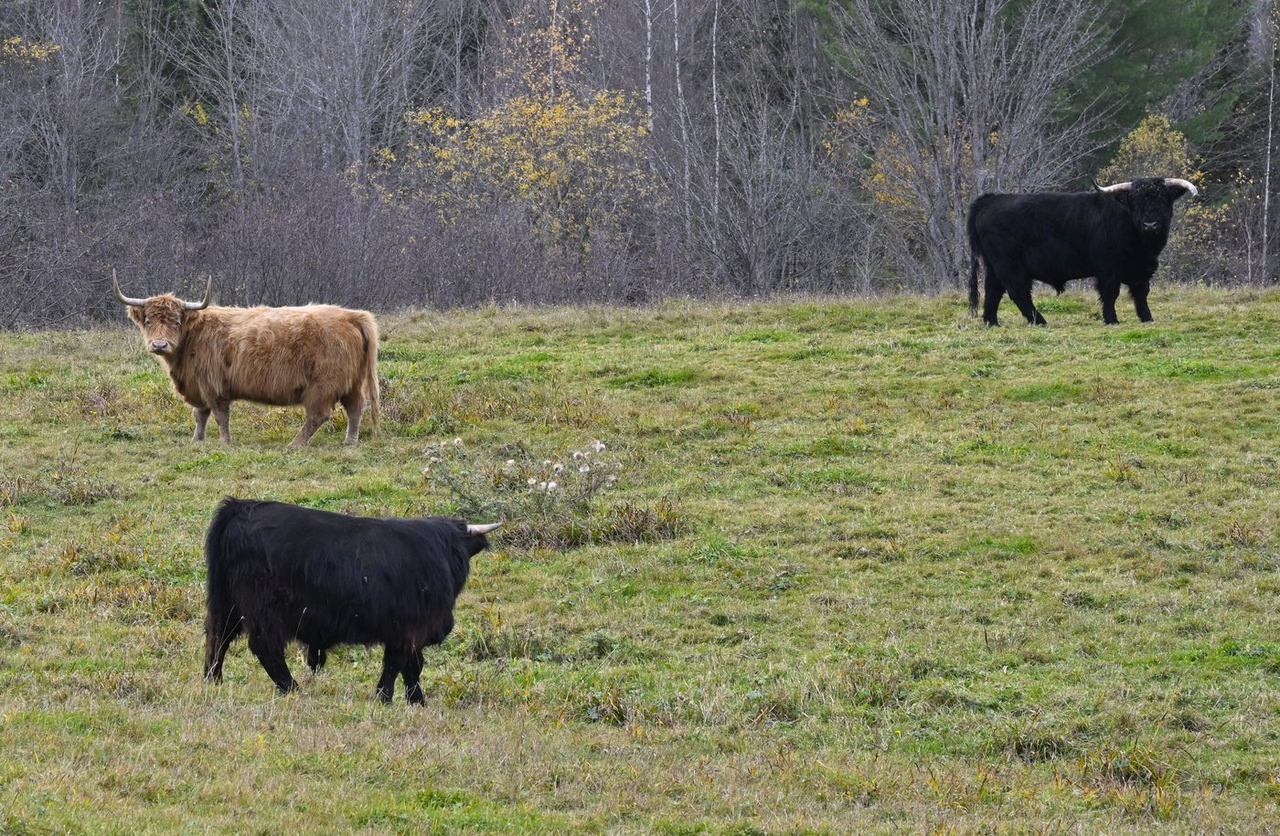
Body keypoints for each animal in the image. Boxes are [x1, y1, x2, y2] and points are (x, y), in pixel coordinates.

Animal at [112, 270, 379, 446]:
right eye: (148, 321)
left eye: (176, 322)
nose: (159, 344)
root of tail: (351, 315)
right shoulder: (198, 384)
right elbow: (200, 414)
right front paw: (197, 440)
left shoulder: (213, 384)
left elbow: (220, 415)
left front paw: (225, 443)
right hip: (352, 381)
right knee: (356, 407)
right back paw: (350, 441)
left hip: (324, 384)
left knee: (318, 415)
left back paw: (294, 444)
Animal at [202, 497, 500, 703]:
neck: (439, 551)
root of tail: (241, 506)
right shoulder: (408, 629)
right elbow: (399, 665)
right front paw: (385, 698)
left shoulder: (410, 632)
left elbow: (411, 668)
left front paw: (415, 701)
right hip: (265, 610)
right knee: (265, 648)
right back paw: (291, 688)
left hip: (226, 604)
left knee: (218, 638)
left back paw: (212, 680)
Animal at [967, 177, 1198, 326]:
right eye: (1135, 201)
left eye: (1162, 200)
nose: (1150, 224)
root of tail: (991, 199)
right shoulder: (1108, 269)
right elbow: (1110, 294)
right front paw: (1112, 320)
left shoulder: (1142, 270)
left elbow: (1141, 295)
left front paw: (1147, 319)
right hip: (1009, 265)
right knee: (1018, 292)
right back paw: (1040, 321)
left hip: (994, 266)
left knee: (993, 291)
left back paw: (992, 322)